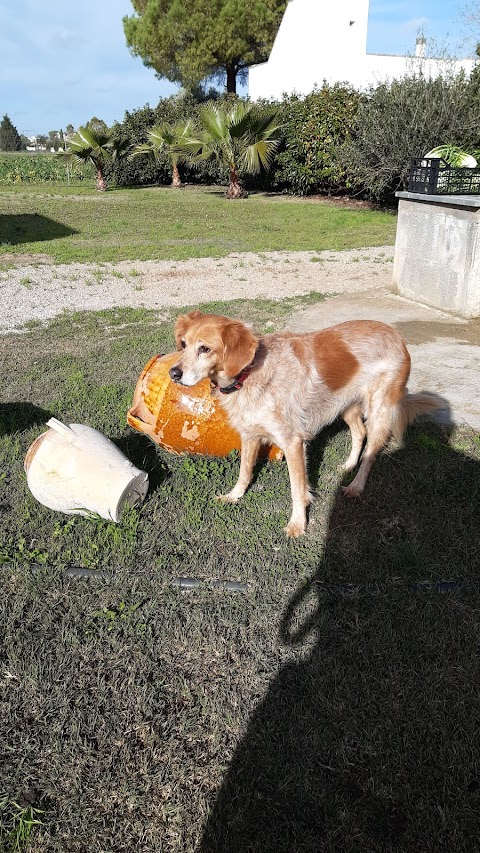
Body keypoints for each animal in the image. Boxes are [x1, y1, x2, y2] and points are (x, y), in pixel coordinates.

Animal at [169, 312, 442, 536]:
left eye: (205, 349)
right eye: (183, 345)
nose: (173, 373)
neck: (249, 374)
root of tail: (396, 334)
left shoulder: (292, 442)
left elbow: (297, 489)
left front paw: (297, 524)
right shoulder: (249, 435)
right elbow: (244, 472)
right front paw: (234, 496)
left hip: (379, 410)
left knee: (372, 452)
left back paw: (356, 485)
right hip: (346, 406)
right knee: (359, 433)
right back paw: (349, 465)